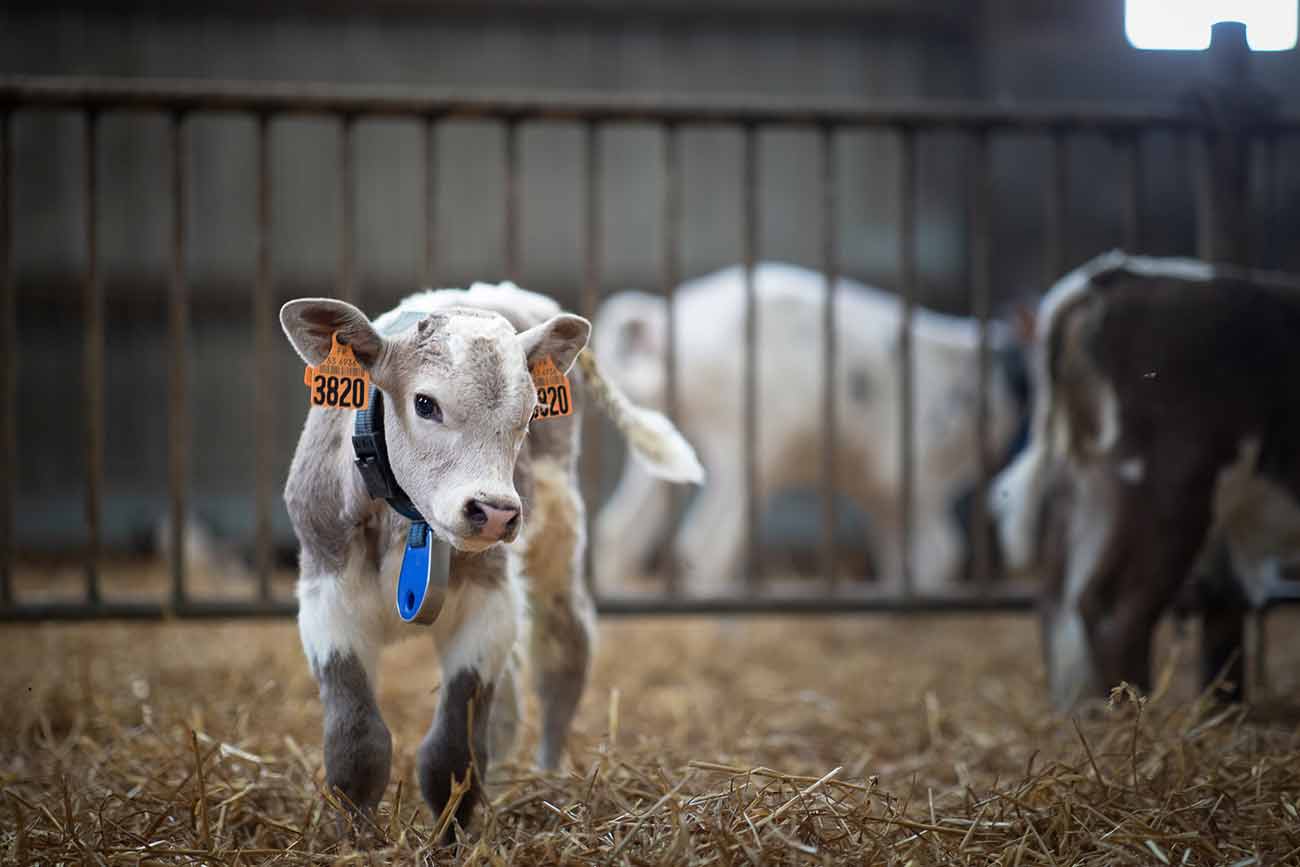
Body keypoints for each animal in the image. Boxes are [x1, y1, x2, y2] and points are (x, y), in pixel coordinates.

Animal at [278, 282, 702, 833]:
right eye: (425, 403)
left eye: (529, 414)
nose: (496, 513)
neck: (410, 522)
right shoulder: (326, 591)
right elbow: (357, 744)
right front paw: (356, 837)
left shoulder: (489, 600)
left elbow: (451, 752)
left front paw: (451, 835)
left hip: (559, 547)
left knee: (563, 658)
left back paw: (547, 779)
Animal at [591, 262, 1031, 596]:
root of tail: (663, 324)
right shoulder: (921, 472)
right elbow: (934, 550)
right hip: (753, 447)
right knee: (705, 543)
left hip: (664, 436)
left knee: (620, 530)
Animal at [990, 251, 1300, 710]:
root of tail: (1114, 275)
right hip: (1169, 482)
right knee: (1113, 605)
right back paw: (1137, 712)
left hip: (1089, 483)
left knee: (1059, 597)